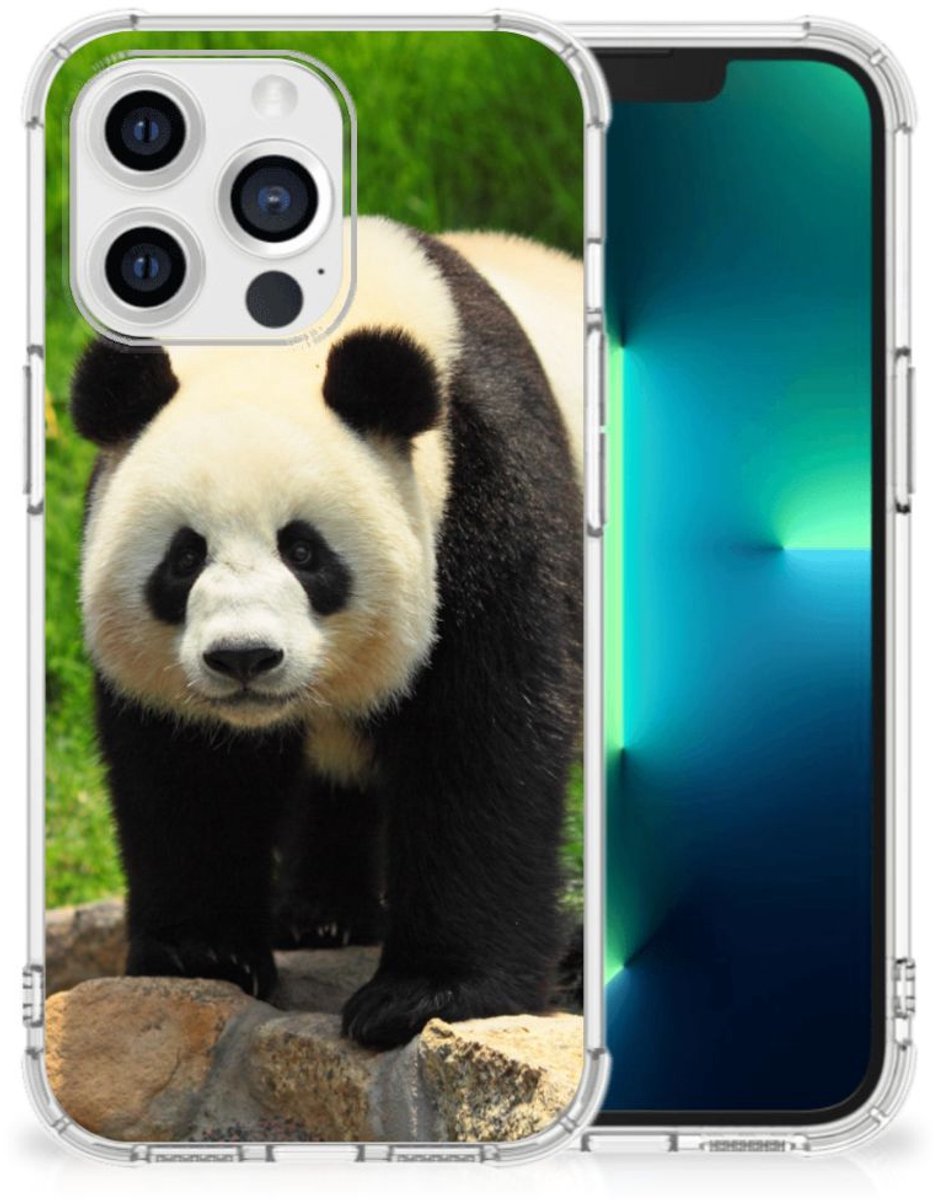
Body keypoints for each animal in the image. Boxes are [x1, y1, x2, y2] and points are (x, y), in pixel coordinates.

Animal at [71, 216, 584, 1050]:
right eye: (185, 557)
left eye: (304, 551)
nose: (243, 658)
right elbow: (188, 768)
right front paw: (201, 953)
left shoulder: (488, 491)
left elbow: (483, 740)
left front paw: (426, 995)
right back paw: (321, 916)